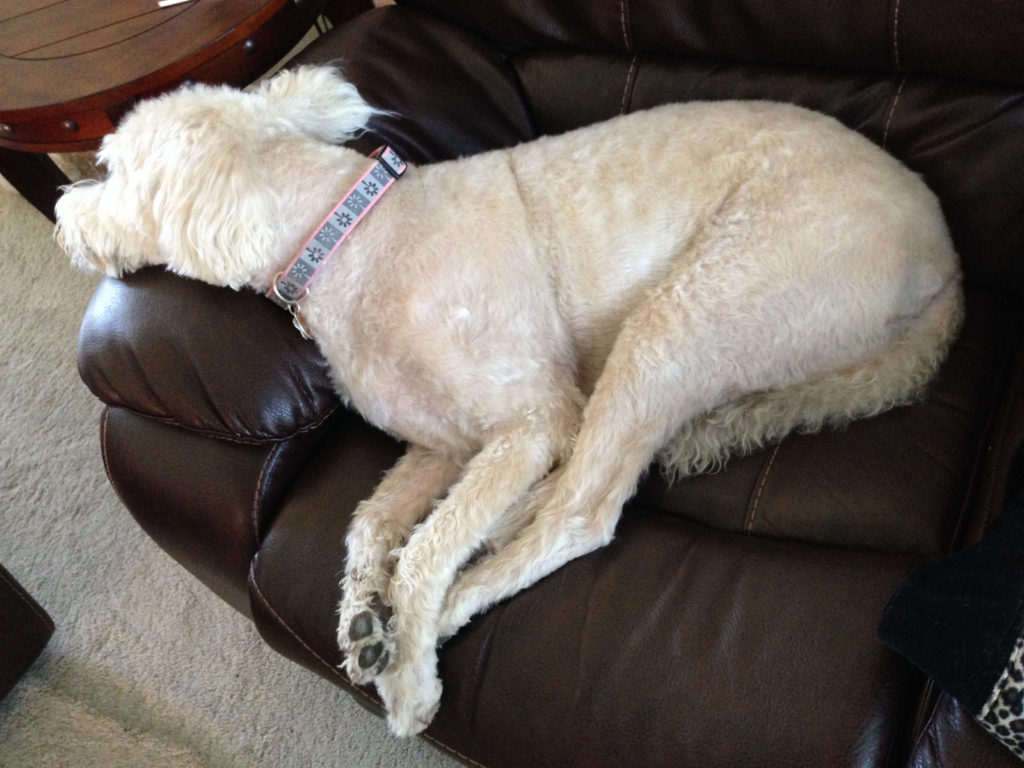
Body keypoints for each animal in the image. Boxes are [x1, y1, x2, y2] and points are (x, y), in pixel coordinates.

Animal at [56, 63, 962, 737]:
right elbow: (371, 523)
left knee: (581, 512)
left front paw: (409, 671)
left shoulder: (530, 421)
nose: (63, 215)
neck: (344, 238)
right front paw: (363, 618)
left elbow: (426, 548)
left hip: (692, 308)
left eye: (115, 172)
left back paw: (457, 603)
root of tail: (945, 261)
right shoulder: (442, 446)